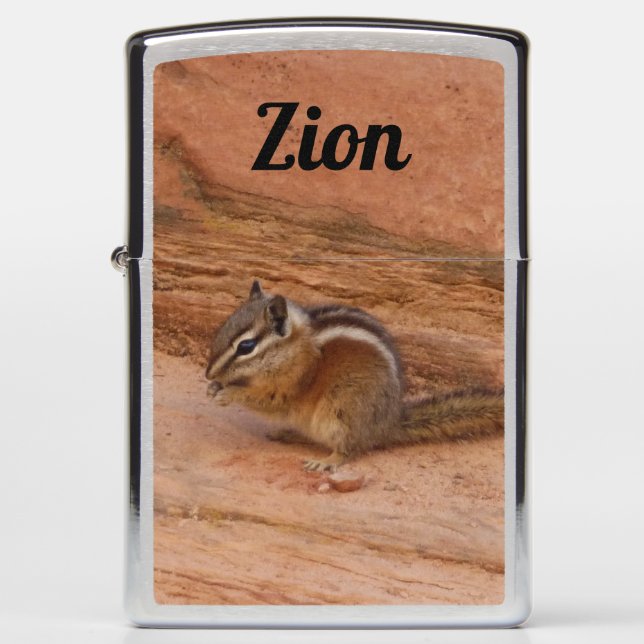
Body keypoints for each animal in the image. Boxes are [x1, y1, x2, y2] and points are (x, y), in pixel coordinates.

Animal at [205, 280, 503, 472]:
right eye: (222, 328)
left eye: (246, 346)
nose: (208, 373)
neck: (293, 348)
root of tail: (386, 424)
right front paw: (213, 387)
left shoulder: (294, 384)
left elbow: (270, 401)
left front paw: (228, 393)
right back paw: (288, 433)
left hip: (342, 409)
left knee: (350, 449)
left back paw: (327, 461)